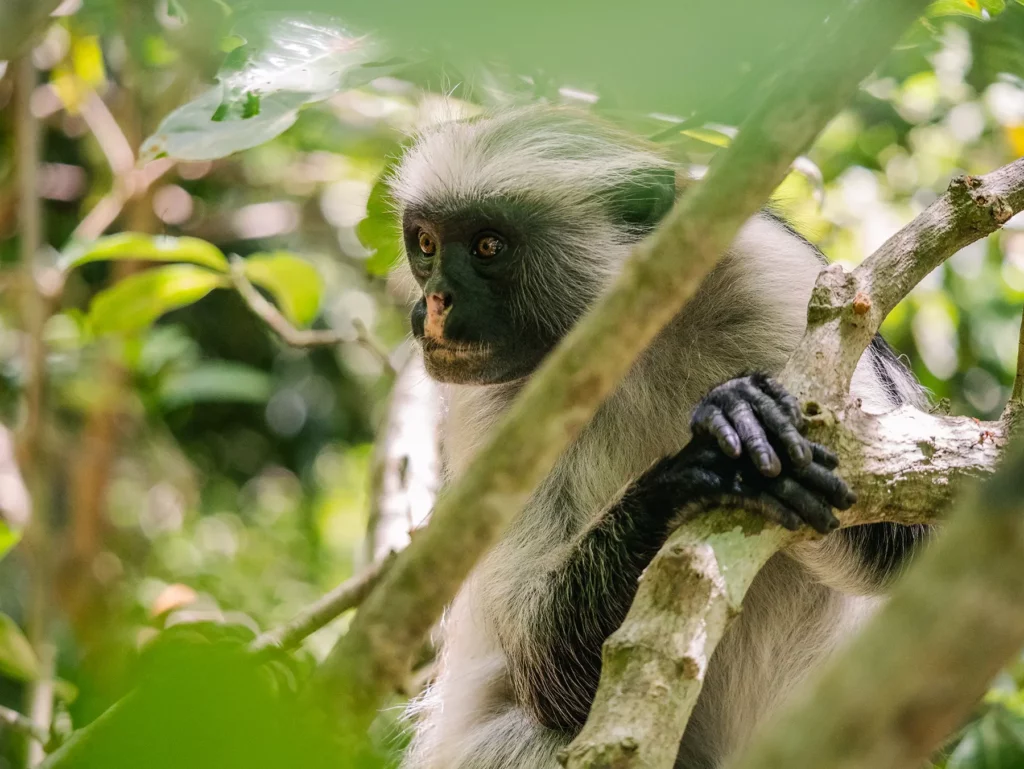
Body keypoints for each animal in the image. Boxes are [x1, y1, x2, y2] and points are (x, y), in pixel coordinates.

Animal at [388, 105, 928, 769]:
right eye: (427, 245)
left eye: (489, 246)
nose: (433, 303)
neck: (635, 349)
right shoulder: (496, 411)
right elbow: (542, 664)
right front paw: (694, 467)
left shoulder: (773, 276)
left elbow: (917, 538)